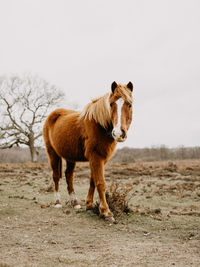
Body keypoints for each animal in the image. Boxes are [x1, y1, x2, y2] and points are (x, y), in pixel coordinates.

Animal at [43, 81, 134, 222]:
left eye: (129, 104)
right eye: (111, 104)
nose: (119, 133)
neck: (99, 125)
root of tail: (53, 115)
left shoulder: (100, 159)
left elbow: (93, 181)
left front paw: (89, 206)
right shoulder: (95, 157)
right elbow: (100, 183)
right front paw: (106, 212)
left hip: (70, 157)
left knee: (69, 176)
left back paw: (75, 203)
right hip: (52, 153)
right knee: (56, 176)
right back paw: (57, 202)